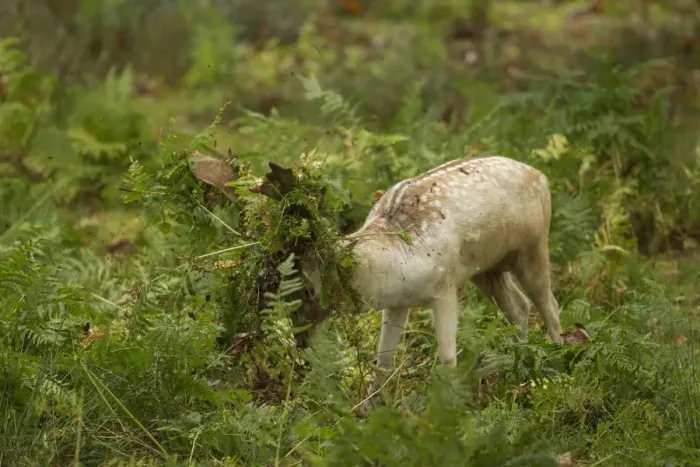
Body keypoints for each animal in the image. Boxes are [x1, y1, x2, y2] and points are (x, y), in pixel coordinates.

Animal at [190, 153, 565, 406]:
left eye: (308, 289)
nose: (302, 344)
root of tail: (543, 177)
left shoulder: (444, 288)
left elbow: (447, 357)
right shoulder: (398, 302)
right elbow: (383, 360)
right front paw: (368, 409)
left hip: (533, 246)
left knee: (550, 305)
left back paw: (556, 362)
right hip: (488, 269)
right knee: (518, 307)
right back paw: (517, 366)